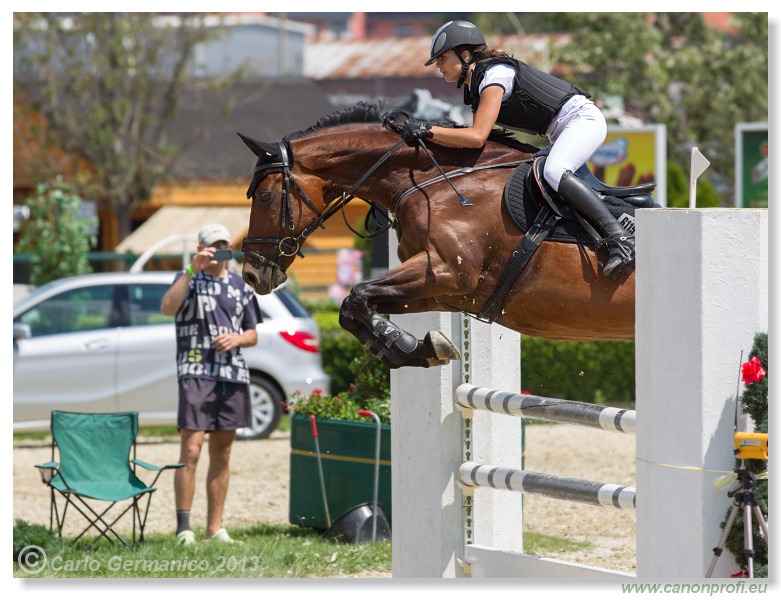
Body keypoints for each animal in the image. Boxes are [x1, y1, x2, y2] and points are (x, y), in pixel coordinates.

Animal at [239, 101, 640, 368]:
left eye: (265, 196)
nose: (251, 274)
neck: (437, 179)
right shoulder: (450, 291)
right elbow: (352, 307)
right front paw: (419, 350)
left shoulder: (448, 269)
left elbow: (357, 295)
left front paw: (406, 343)